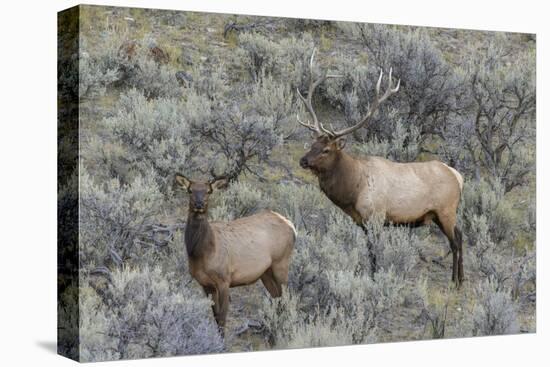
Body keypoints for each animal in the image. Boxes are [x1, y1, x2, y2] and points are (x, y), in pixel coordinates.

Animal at [177, 174, 298, 334]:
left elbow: (222, 318)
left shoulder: (224, 279)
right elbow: (215, 317)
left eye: (209, 191)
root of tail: (291, 226)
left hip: (281, 263)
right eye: (190, 190)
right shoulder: (205, 284)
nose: (199, 204)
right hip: (266, 272)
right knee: (277, 299)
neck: (202, 253)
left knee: (286, 299)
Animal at [298, 49, 466, 288]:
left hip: (446, 210)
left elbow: (374, 253)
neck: (353, 190)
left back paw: (456, 281)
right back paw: (459, 278)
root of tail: (458, 176)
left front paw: (375, 278)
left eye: (326, 150)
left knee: (456, 240)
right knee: (460, 235)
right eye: (313, 144)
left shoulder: (376, 217)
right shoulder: (362, 222)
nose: (303, 160)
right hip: (438, 214)